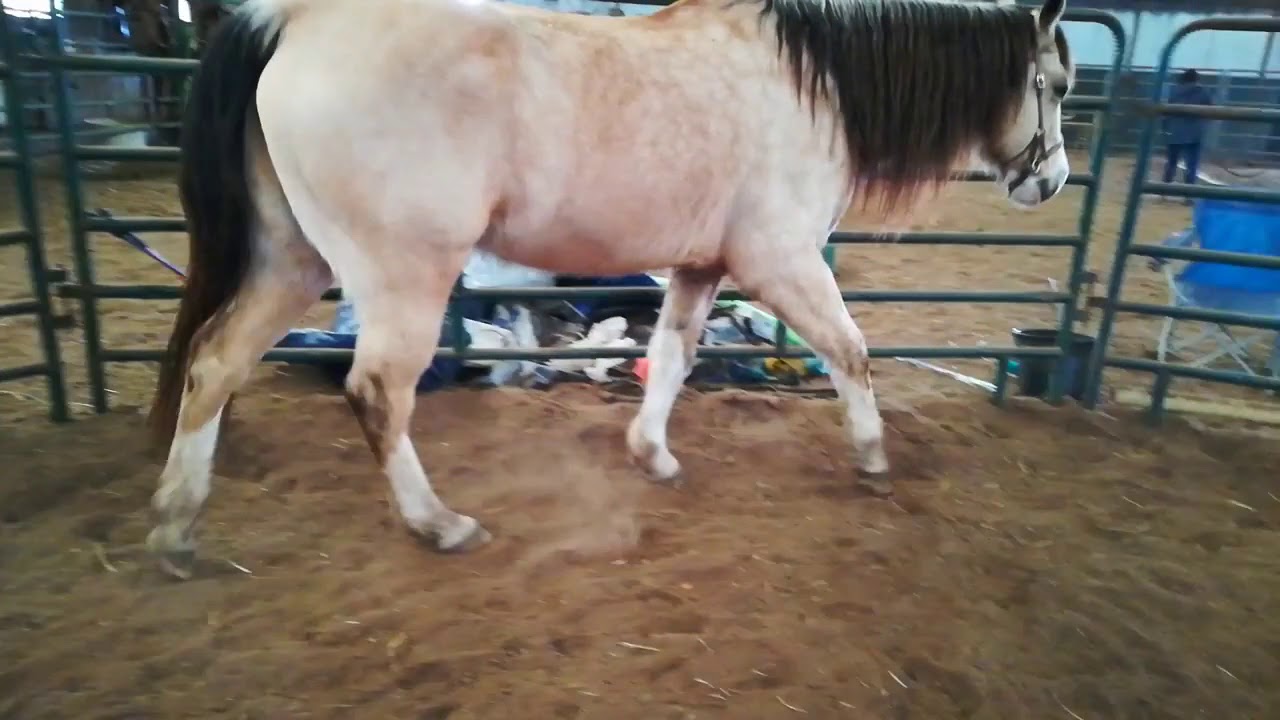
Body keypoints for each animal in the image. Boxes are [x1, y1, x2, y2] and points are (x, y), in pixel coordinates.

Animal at [146, 0, 1075, 578]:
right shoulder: (782, 260)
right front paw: (874, 458)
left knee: (215, 362)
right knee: (377, 393)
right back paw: (438, 523)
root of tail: (291, 20)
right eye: (1058, 85)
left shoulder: (702, 264)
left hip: (293, 260)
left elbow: (671, 356)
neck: (807, 87)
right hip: (404, 274)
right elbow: (851, 350)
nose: (1053, 180)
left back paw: (176, 523)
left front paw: (651, 454)